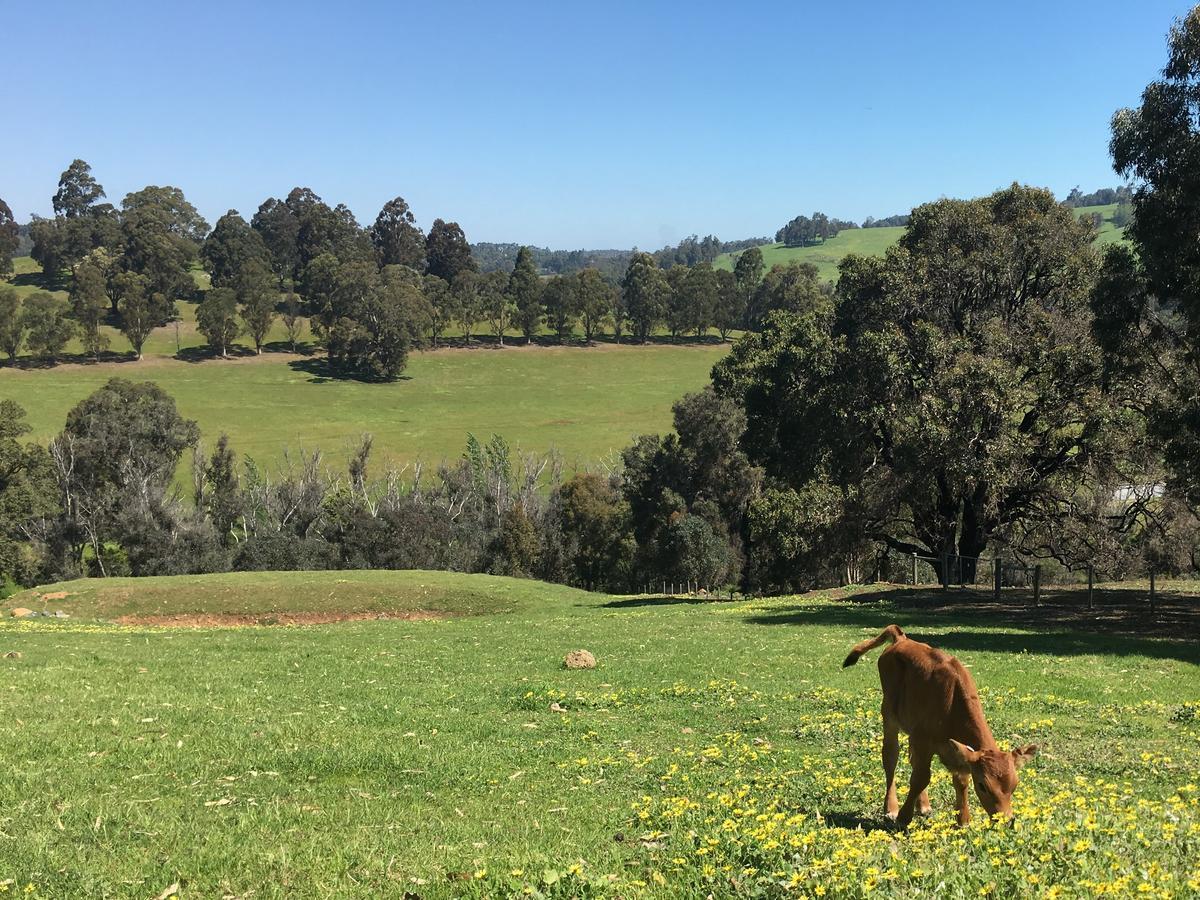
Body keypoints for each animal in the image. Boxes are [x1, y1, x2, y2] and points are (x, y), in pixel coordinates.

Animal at [844, 628, 1032, 825]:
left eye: (1014, 785)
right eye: (983, 786)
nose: (1006, 820)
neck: (952, 705)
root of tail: (901, 639)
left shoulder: (950, 748)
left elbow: (960, 779)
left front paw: (963, 820)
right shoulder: (923, 740)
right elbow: (920, 778)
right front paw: (903, 817)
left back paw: (923, 805)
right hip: (889, 716)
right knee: (890, 758)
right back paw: (891, 807)